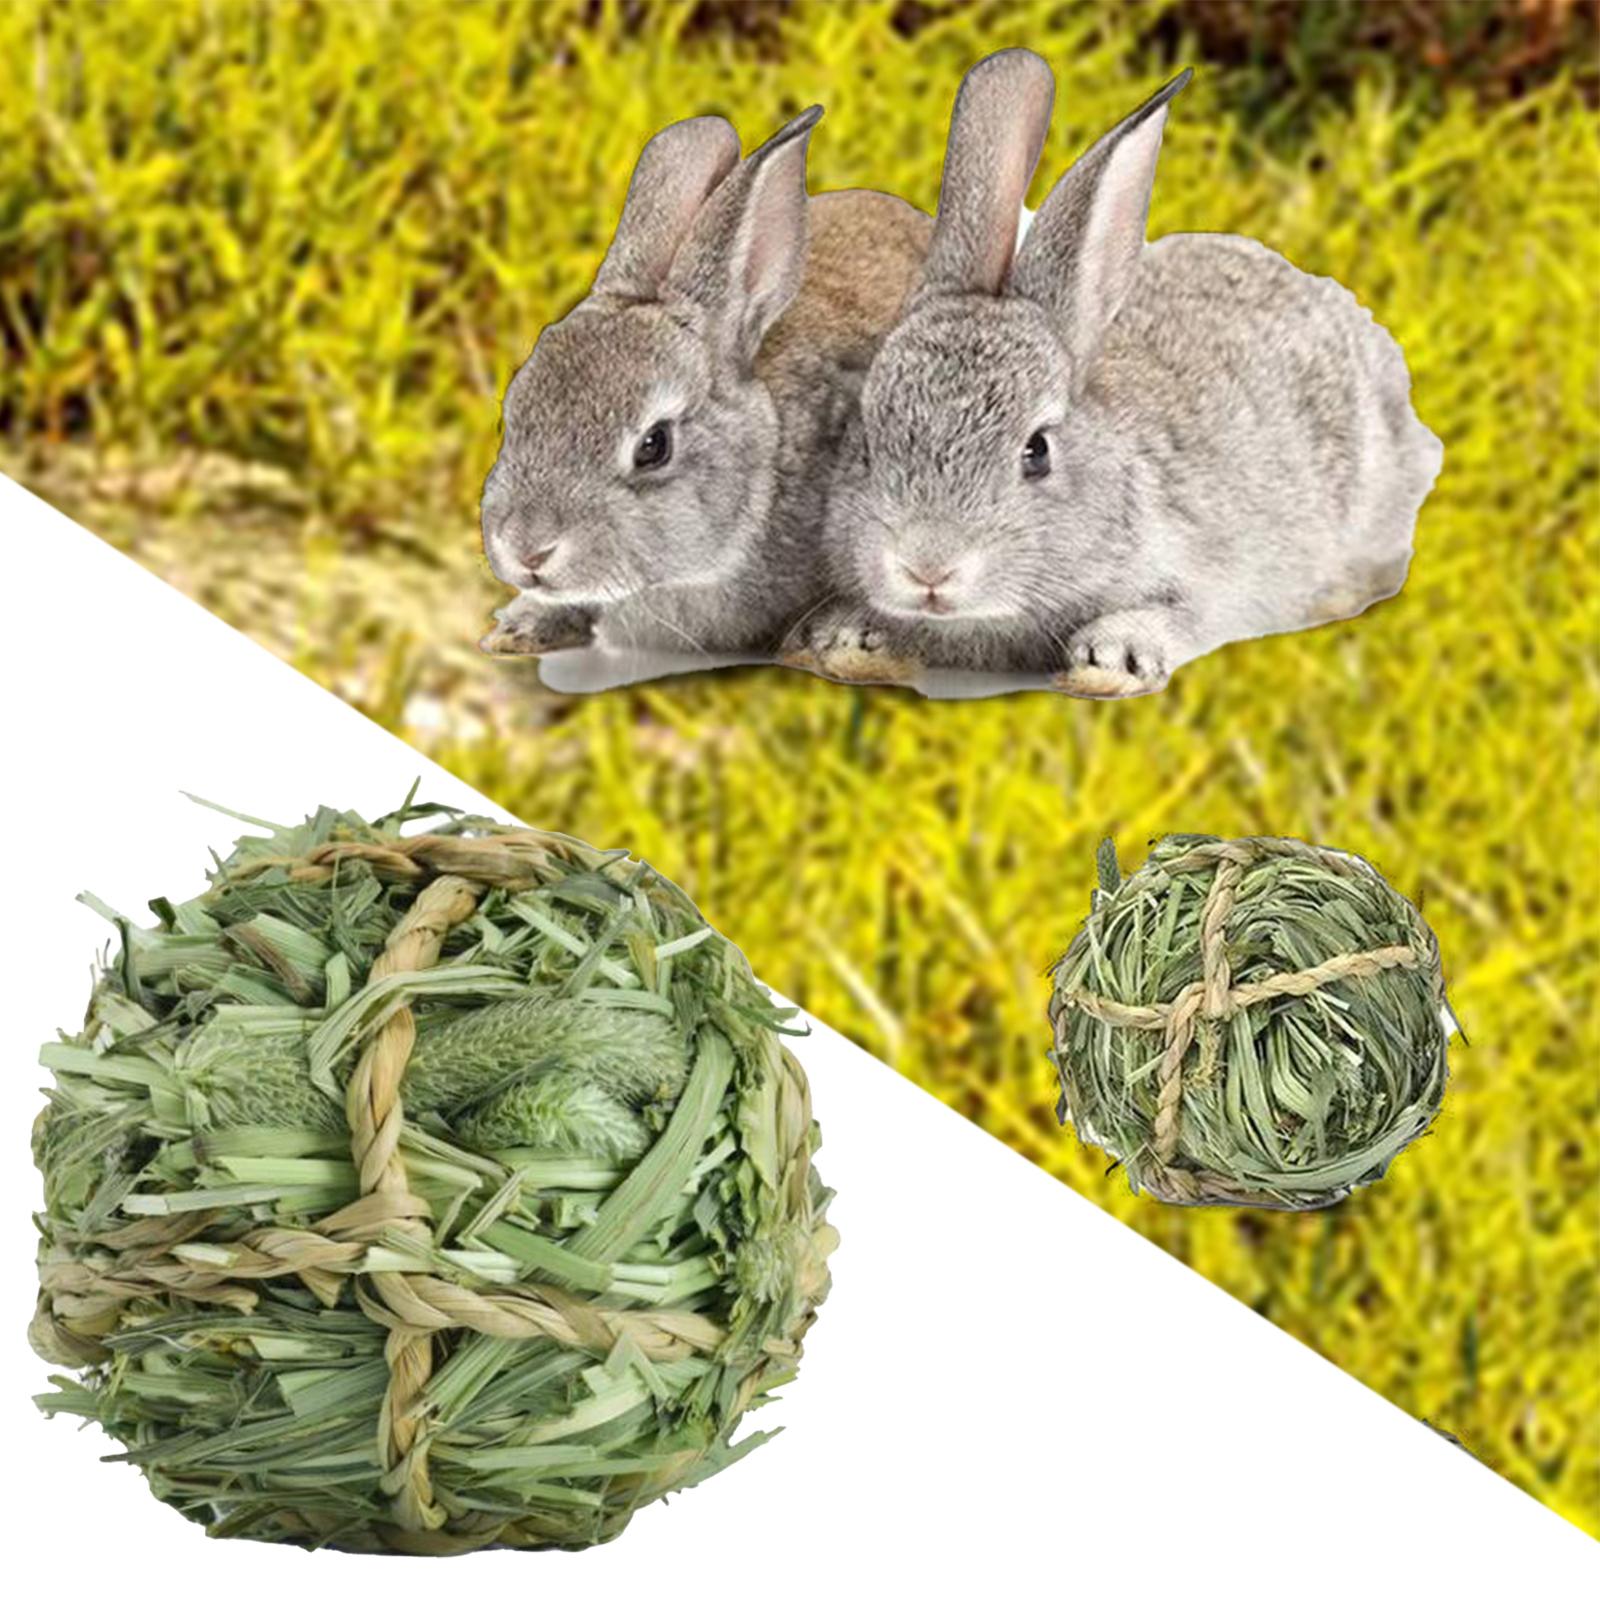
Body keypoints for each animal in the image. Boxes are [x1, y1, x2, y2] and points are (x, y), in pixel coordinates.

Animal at [785, 49, 1443, 697]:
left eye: (1037, 452)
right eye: (866, 442)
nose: (927, 568)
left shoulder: (1211, 578)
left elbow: (1180, 616)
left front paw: (1110, 660)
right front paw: (845, 636)